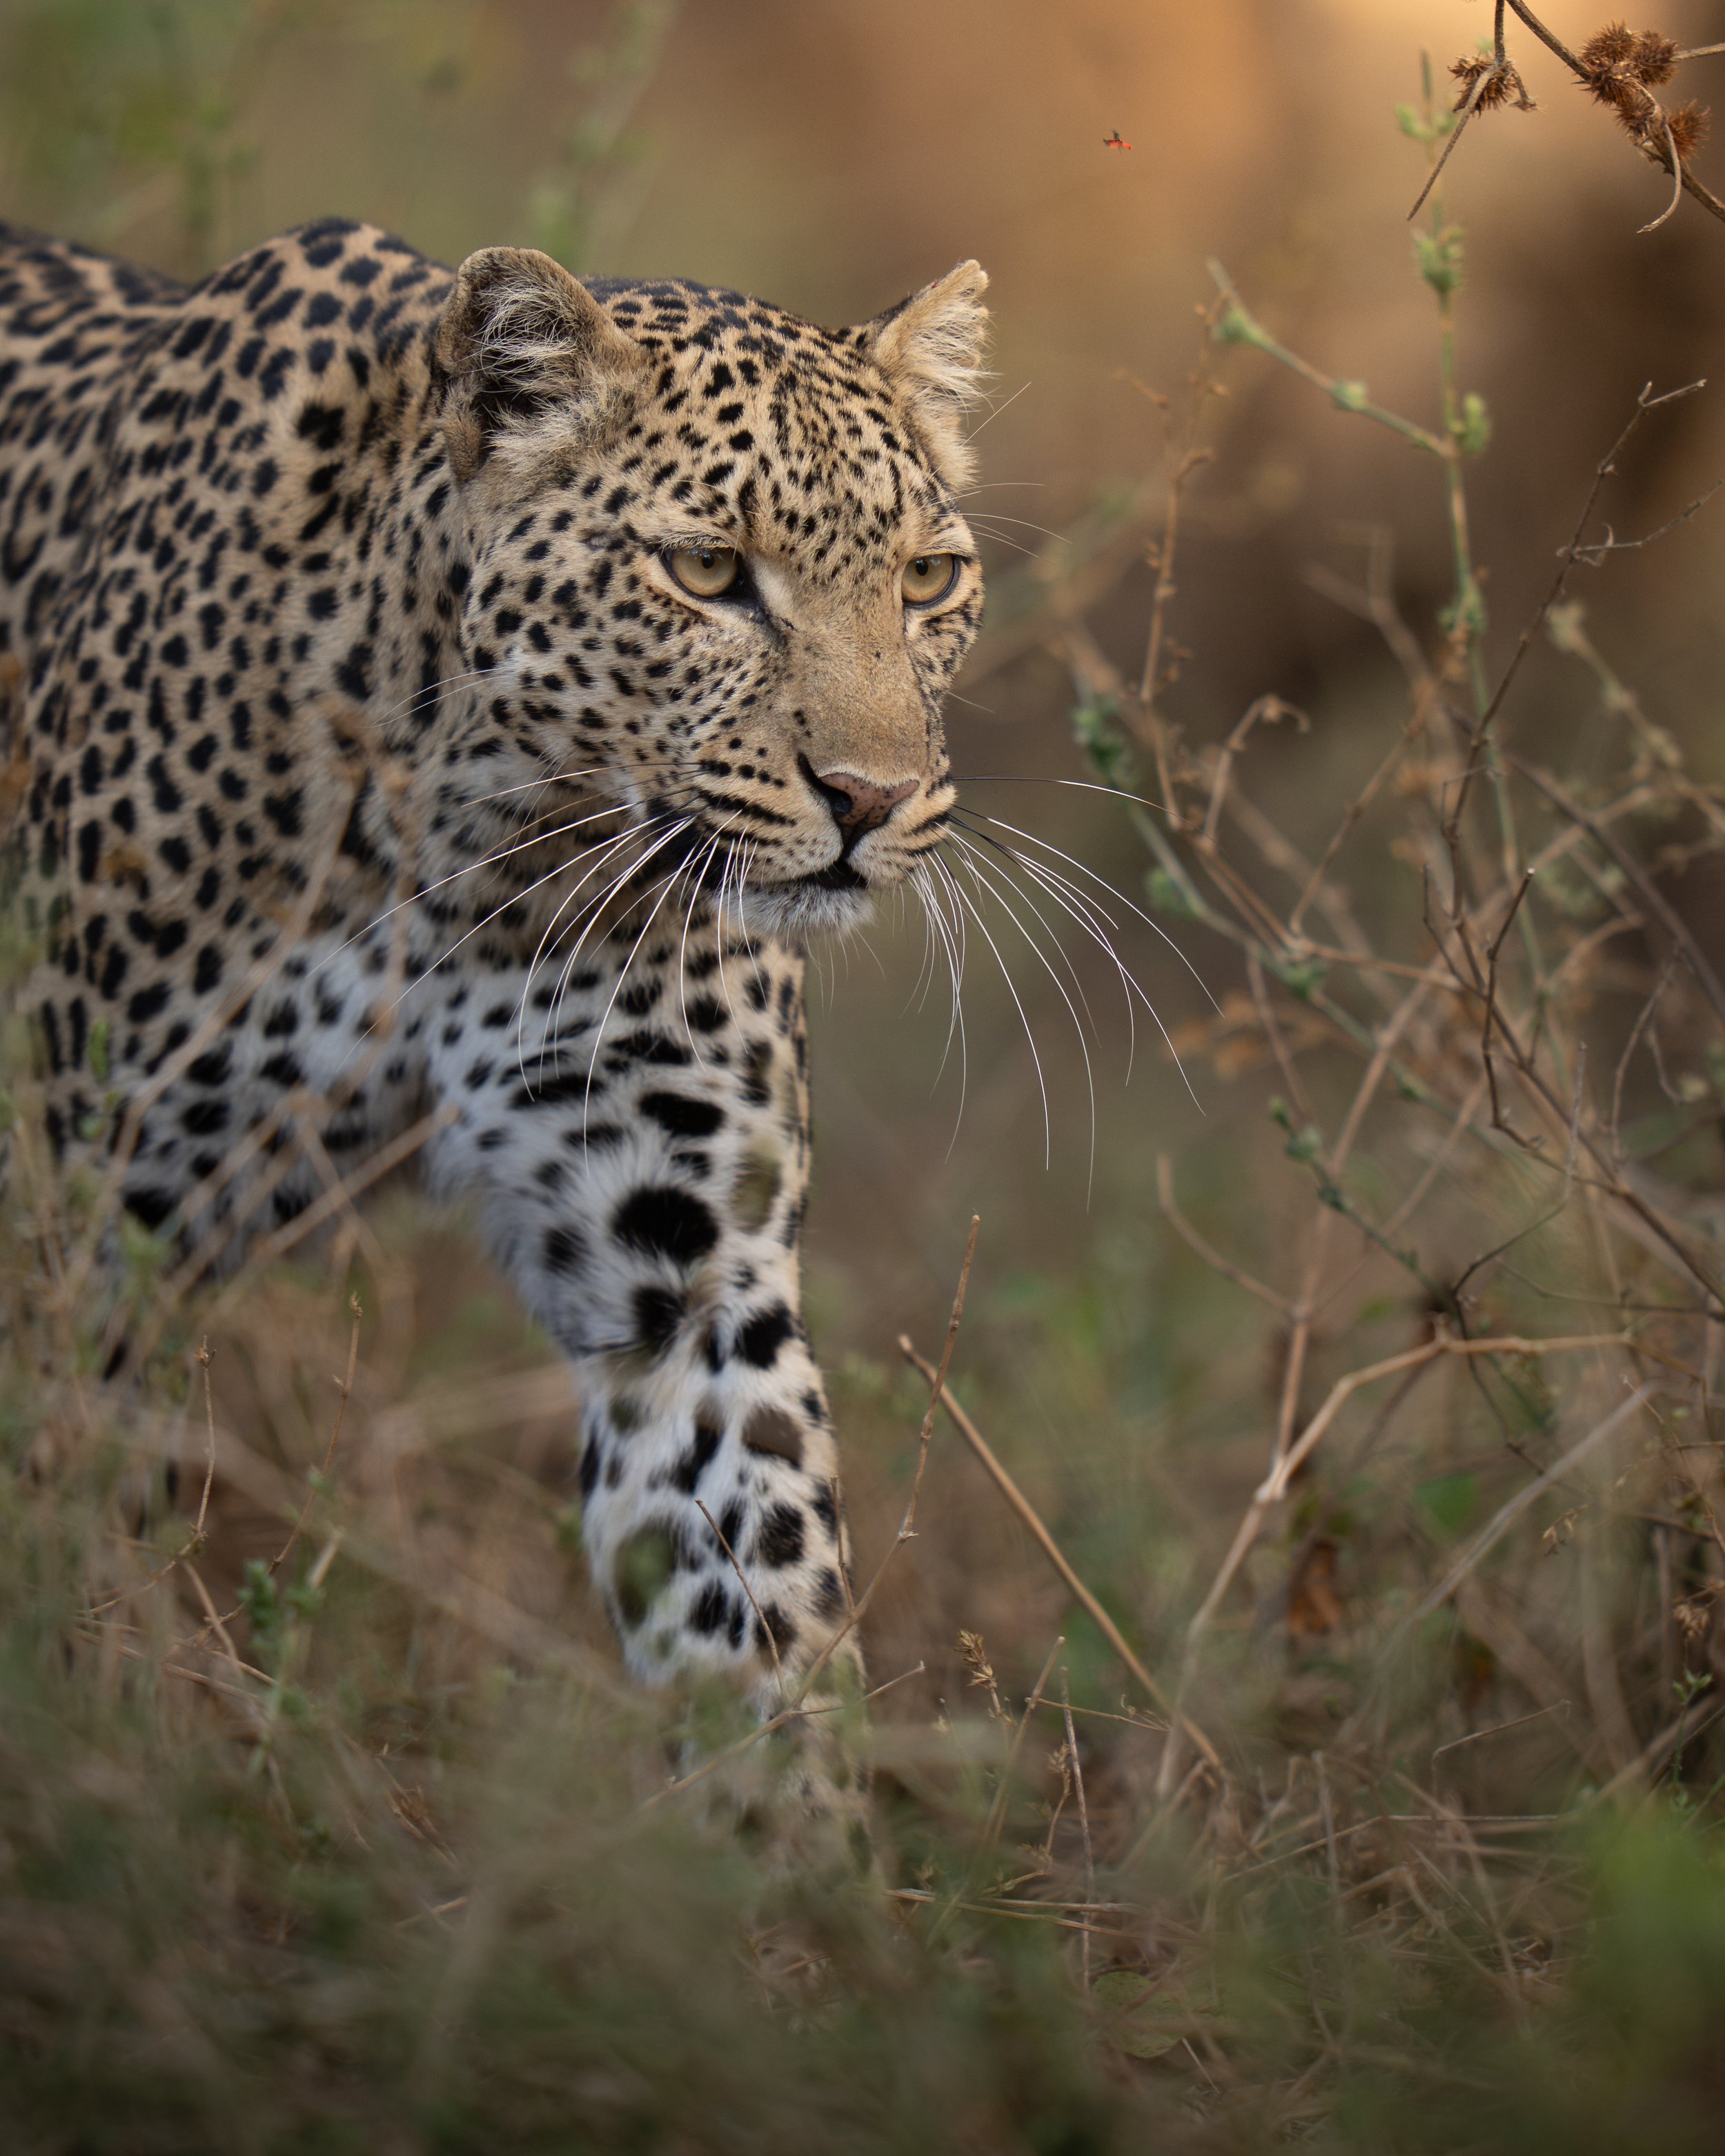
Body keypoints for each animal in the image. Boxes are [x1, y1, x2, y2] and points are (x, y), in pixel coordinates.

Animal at [0, 214, 989, 1802]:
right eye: (707, 570)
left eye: (926, 580)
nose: (874, 799)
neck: (476, 844)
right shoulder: (68, 1221)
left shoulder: (686, 1279)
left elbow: (757, 1606)